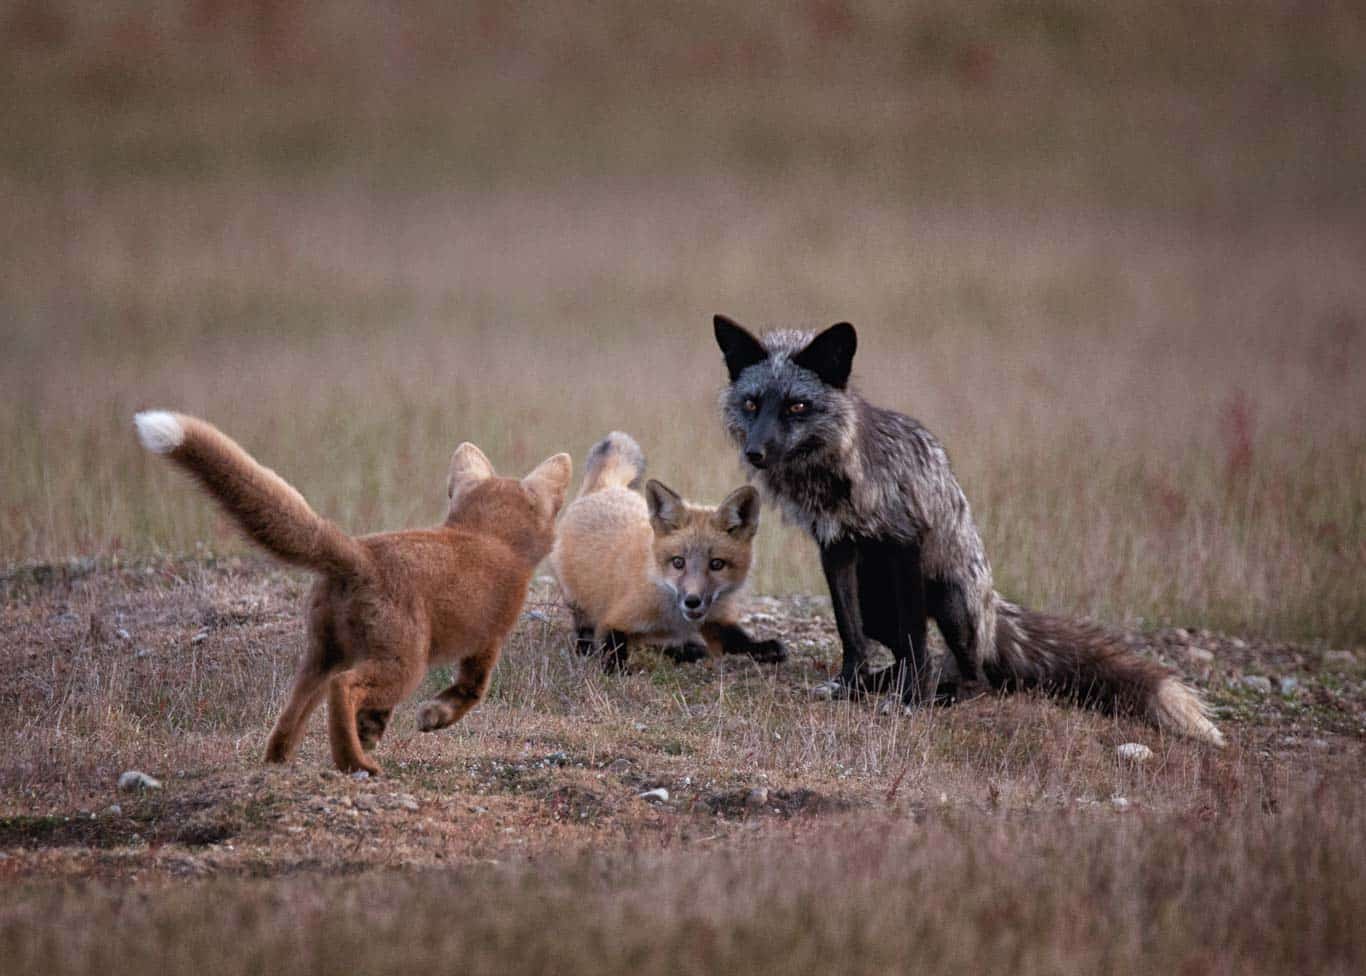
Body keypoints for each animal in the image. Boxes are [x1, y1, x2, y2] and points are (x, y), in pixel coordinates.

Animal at [134, 407, 570, 770]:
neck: (487, 537)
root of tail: (360, 552)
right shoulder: (489, 639)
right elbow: (471, 691)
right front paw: (433, 717)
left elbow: (383, 711)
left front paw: (373, 728)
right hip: (404, 663)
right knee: (344, 689)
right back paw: (355, 764)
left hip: (323, 657)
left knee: (293, 717)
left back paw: (283, 763)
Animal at [551, 434, 792, 669]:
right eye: (678, 562)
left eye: (716, 564)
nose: (692, 601)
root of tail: (605, 488)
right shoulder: (615, 618)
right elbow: (614, 647)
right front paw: (616, 669)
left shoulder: (714, 618)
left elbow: (736, 639)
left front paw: (764, 647)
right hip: (578, 604)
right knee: (585, 631)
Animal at [715, 315, 1229, 743]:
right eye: (752, 403)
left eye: (797, 407)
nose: (755, 453)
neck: (835, 477)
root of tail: (993, 605)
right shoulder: (835, 546)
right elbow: (850, 632)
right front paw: (851, 685)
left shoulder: (906, 542)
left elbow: (917, 644)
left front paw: (913, 703)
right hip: (878, 603)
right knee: (906, 653)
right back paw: (883, 684)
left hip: (949, 598)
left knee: (975, 677)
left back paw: (938, 693)